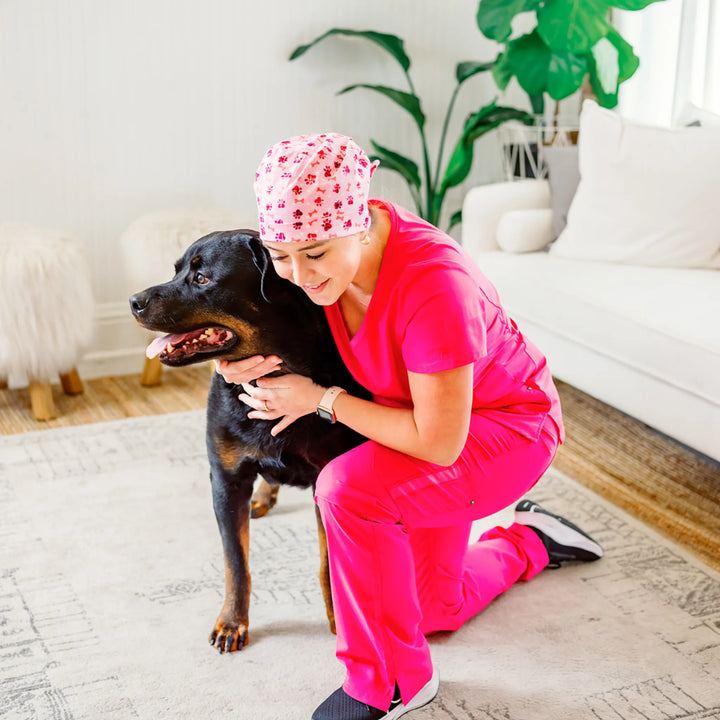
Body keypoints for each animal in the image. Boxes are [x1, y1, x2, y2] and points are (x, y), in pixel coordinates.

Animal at [126, 229, 368, 652]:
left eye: (202, 277)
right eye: (175, 271)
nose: (133, 301)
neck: (270, 377)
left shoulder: (327, 479)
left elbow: (329, 561)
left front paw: (339, 617)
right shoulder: (226, 479)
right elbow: (235, 562)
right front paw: (232, 622)